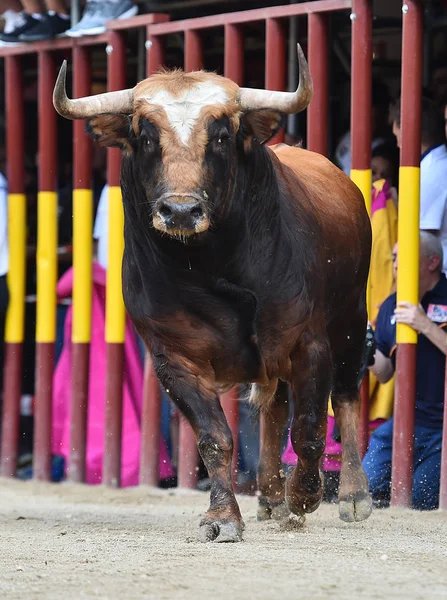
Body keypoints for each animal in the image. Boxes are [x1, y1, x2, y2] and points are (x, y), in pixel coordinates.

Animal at [52, 47, 374, 544]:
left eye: (221, 136)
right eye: (146, 137)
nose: (181, 210)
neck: (211, 270)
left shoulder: (309, 345)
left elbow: (310, 428)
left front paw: (305, 495)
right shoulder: (175, 360)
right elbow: (215, 437)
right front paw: (224, 516)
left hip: (351, 322)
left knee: (345, 395)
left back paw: (353, 495)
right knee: (274, 409)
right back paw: (269, 496)